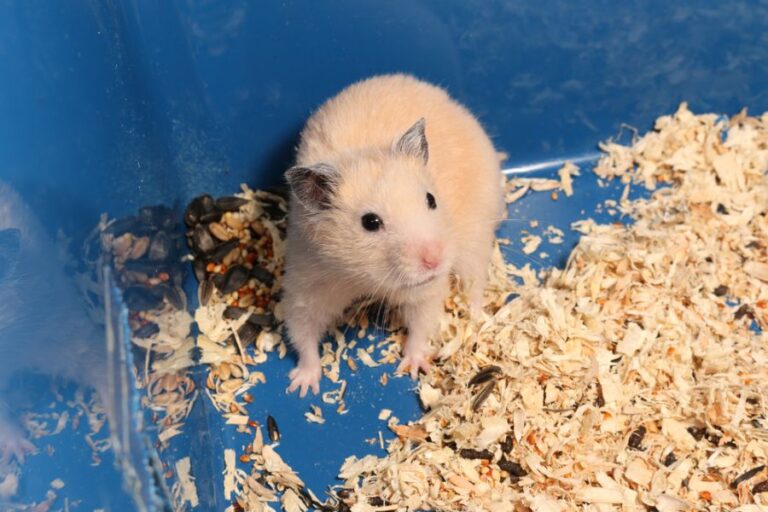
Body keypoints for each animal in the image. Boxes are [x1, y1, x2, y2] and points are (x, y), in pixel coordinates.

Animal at [281, 74, 505, 396]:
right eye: (370, 222)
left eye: (431, 199)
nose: (435, 261)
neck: (363, 277)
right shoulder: (307, 283)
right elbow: (302, 331)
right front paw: (303, 385)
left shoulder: (427, 289)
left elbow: (422, 322)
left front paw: (413, 366)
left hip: (474, 231)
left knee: (474, 281)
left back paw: (476, 316)